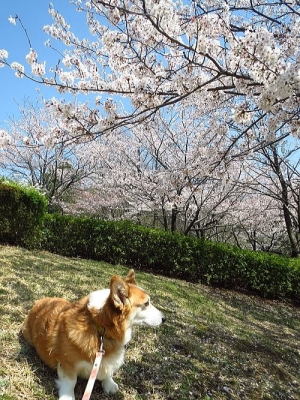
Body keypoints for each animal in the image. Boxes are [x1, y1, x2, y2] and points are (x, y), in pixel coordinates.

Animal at [22, 270, 165, 398]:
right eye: (146, 303)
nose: (165, 319)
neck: (99, 327)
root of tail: (38, 302)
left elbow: (108, 372)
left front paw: (109, 385)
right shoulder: (67, 364)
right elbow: (70, 382)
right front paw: (68, 396)